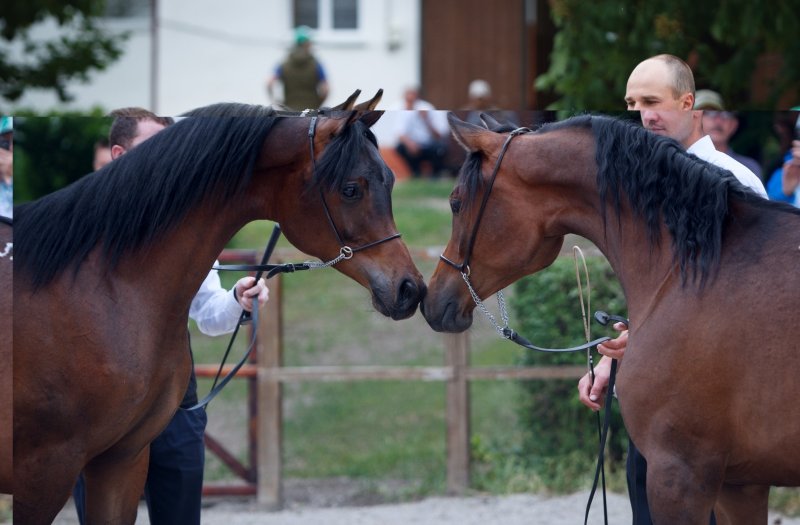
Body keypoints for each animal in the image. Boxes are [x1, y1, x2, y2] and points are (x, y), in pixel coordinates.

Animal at [12, 90, 424, 520]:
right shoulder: (46, 471)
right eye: (351, 189)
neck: (99, 284)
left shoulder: (119, 462)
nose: (410, 288)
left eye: (390, 180)